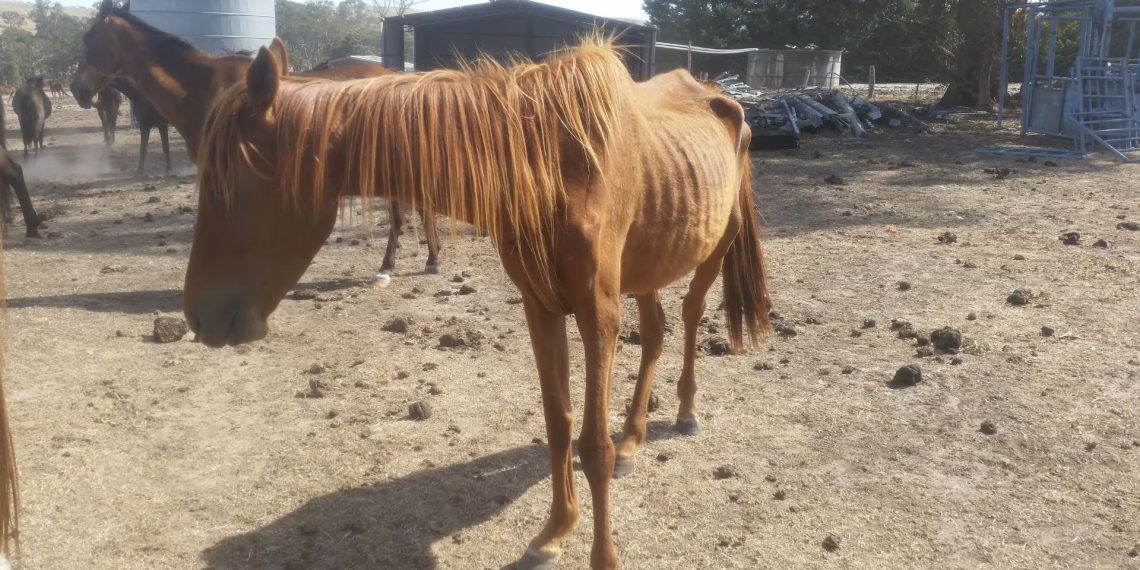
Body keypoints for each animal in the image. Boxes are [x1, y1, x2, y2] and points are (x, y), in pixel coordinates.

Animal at [184, 39, 771, 569]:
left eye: (225, 183)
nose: (197, 317)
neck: (555, 166)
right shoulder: (542, 307)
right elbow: (558, 423)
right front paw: (553, 533)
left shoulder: (597, 315)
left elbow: (591, 446)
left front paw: (602, 556)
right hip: (646, 267)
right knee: (654, 335)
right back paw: (632, 439)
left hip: (716, 247)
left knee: (691, 317)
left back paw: (686, 413)